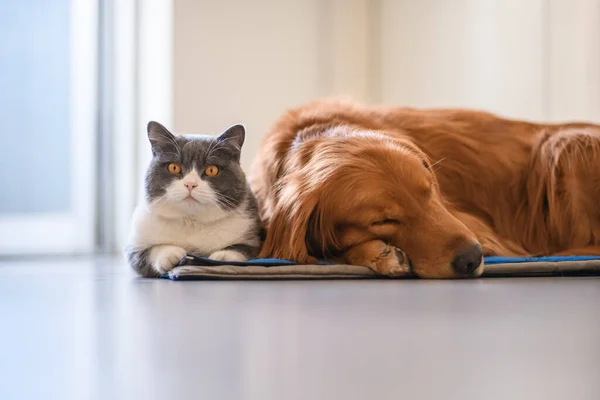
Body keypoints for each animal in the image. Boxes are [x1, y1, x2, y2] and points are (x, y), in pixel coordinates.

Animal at [126, 122, 260, 278]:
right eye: (174, 167)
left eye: (211, 170)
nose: (190, 184)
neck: (191, 221)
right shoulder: (135, 245)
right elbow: (147, 253)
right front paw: (169, 254)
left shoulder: (252, 236)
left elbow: (244, 249)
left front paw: (224, 256)